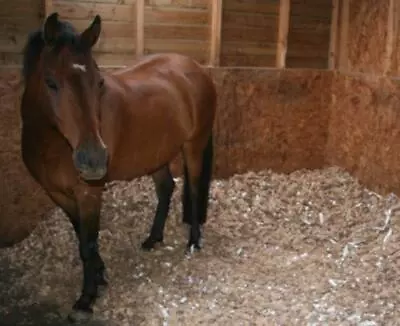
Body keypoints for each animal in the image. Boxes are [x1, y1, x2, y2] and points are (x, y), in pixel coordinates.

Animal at [19, 12, 216, 324]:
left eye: (99, 82)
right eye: (50, 82)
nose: (94, 160)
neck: (54, 143)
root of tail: (196, 68)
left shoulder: (88, 193)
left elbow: (87, 243)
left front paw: (86, 298)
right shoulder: (58, 194)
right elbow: (80, 235)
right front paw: (99, 276)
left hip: (193, 146)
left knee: (195, 191)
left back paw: (193, 243)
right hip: (155, 154)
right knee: (166, 189)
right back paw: (153, 239)